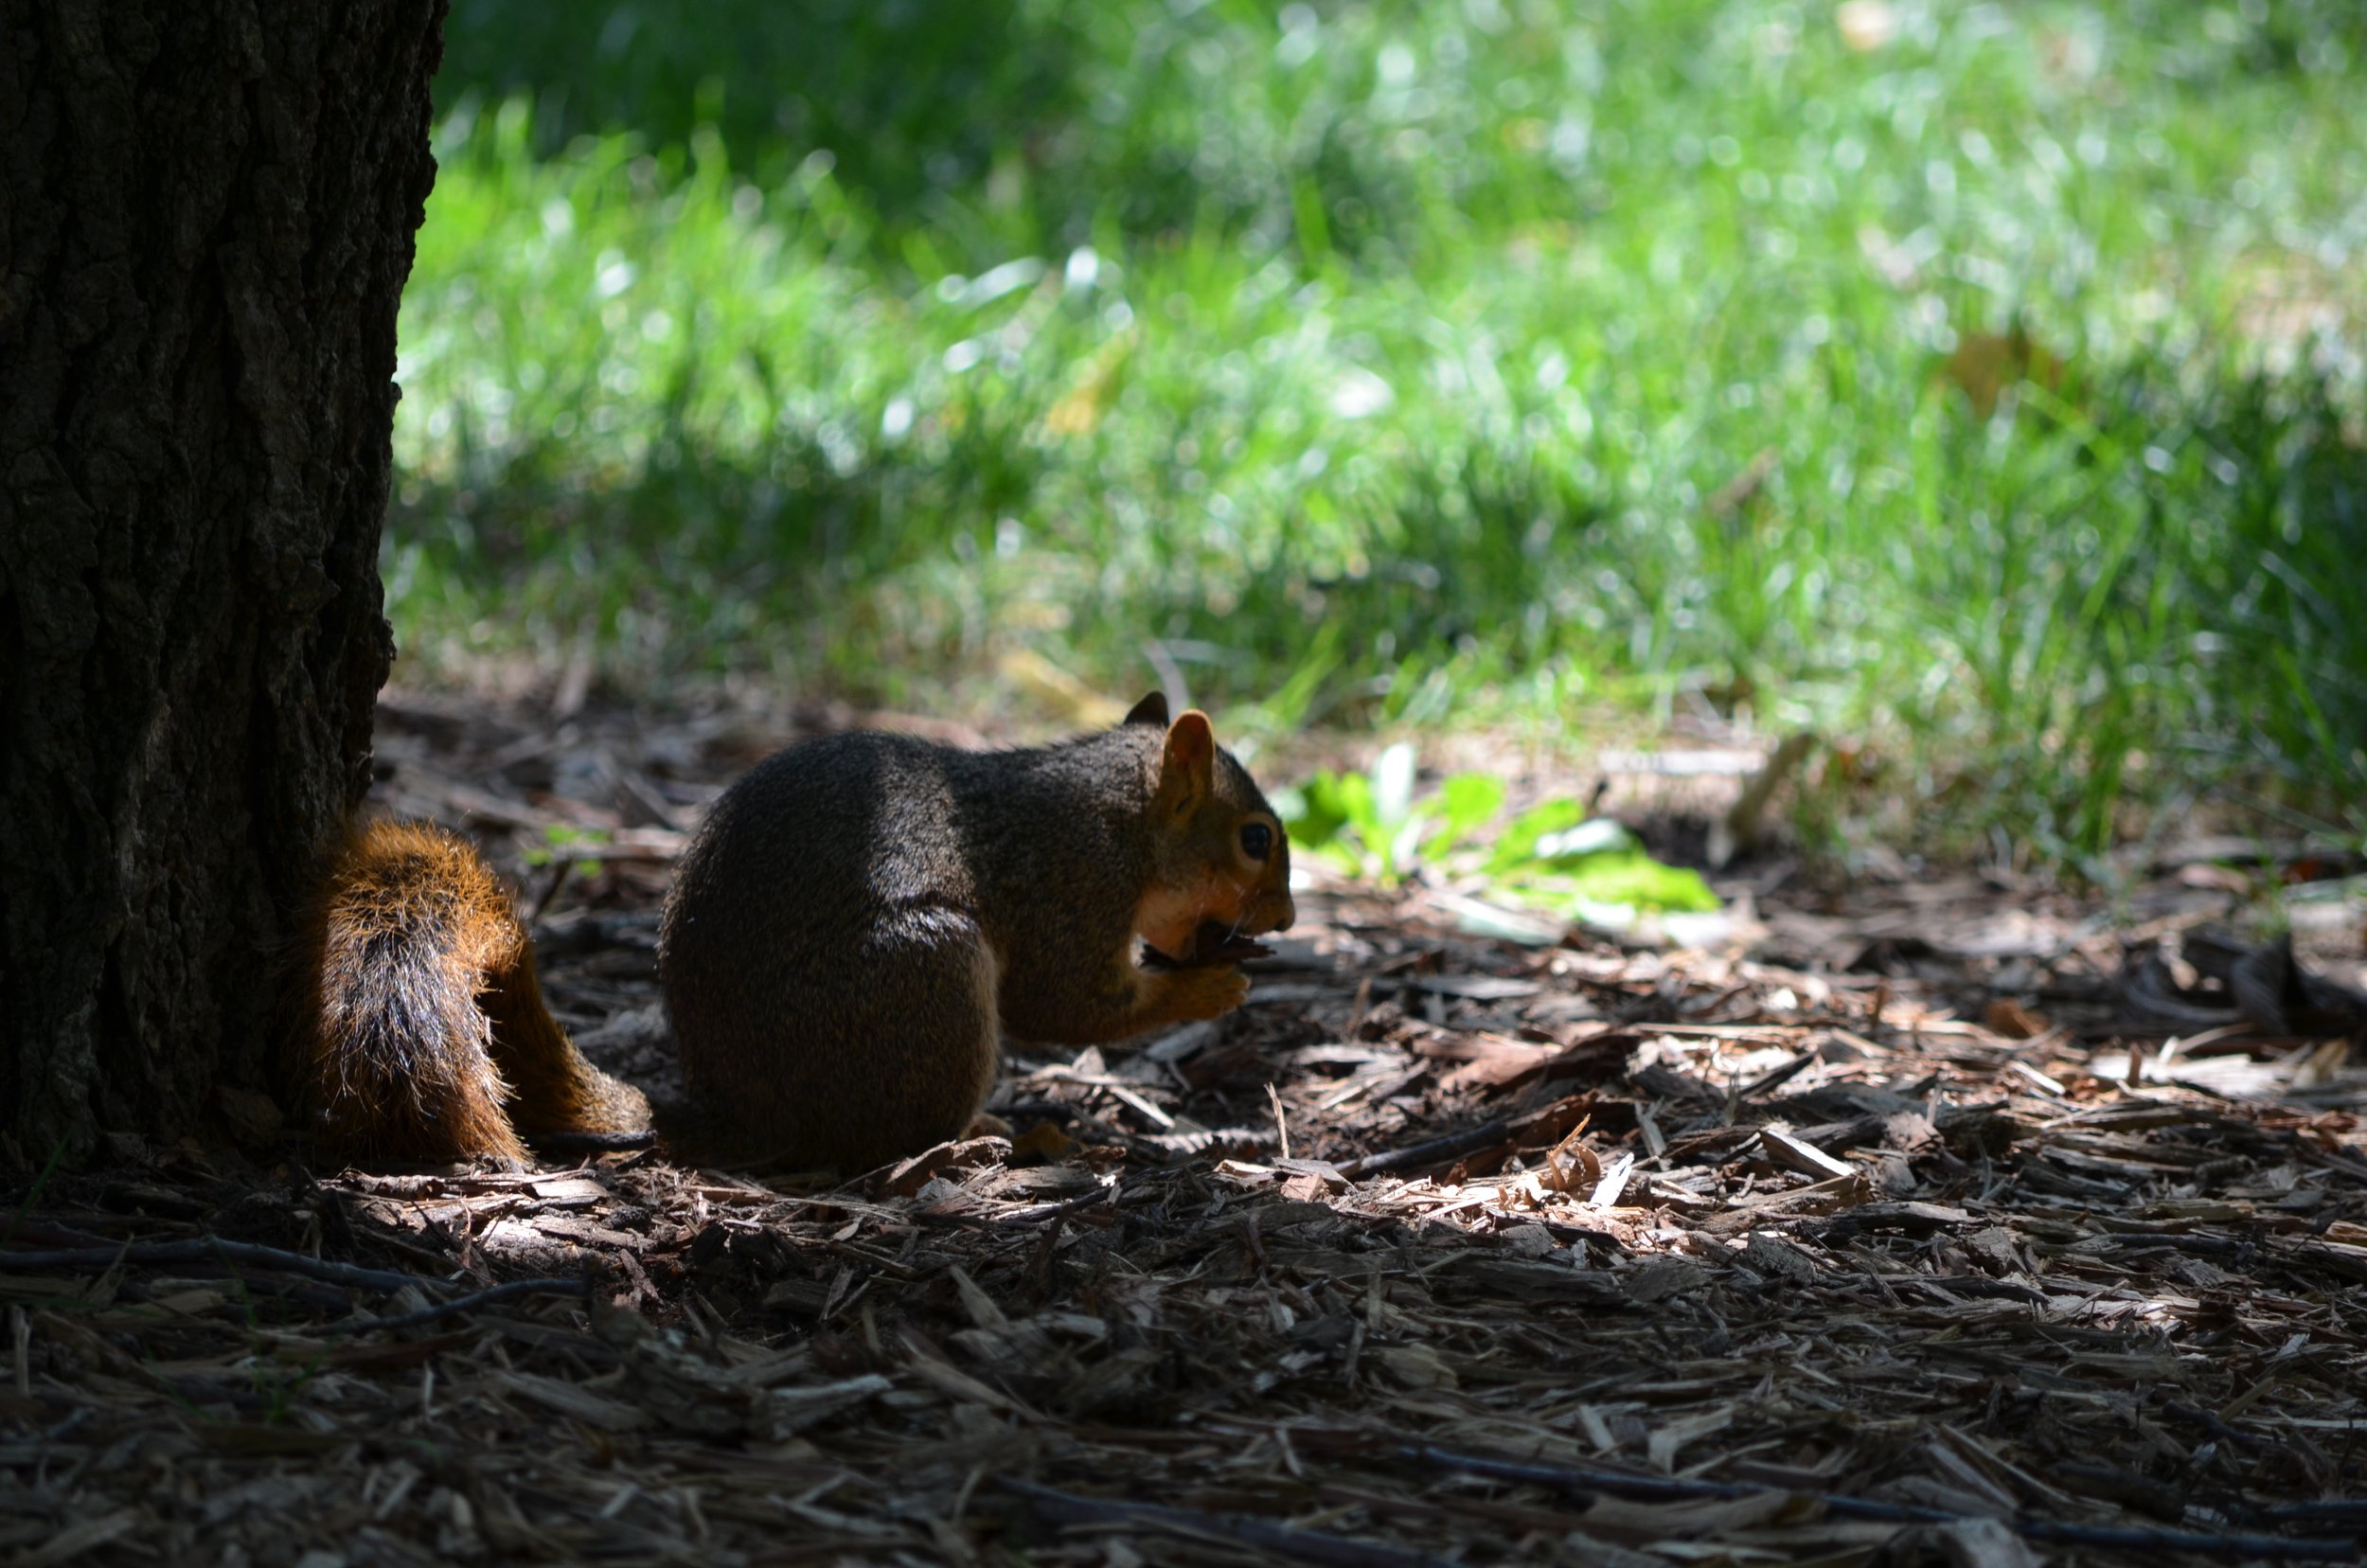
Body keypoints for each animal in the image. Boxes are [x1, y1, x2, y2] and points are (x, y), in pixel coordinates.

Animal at [290, 695, 1294, 1171]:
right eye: (1255, 839)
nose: (1285, 918)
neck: (1114, 818)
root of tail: (740, 1110)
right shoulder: (1068, 891)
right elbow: (1074, 1006)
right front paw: (1214, 986)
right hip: (923, 979)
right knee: (888, 1136)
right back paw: (989, 1137)